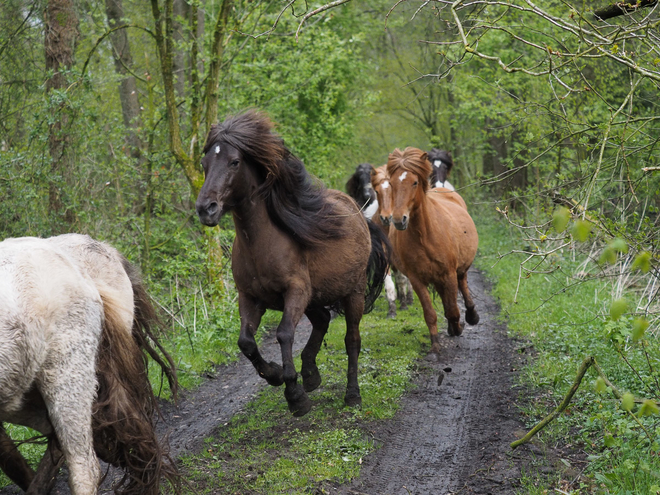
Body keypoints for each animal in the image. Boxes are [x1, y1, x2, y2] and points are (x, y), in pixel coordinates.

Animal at [196, 110, 392, 416]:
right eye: (204, 163)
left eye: (234, 161)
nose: (206, 209)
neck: (261, 245)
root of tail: (358, 212)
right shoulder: (249, 297)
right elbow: (245, 342)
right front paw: (276, 374)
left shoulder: (295, 292)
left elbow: (284, 334)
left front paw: (295, 394)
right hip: (315, 298)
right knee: (322, 320)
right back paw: (311, 373)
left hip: (354, 293)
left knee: (352, 341)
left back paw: (352, 395)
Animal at [386, 149, 480, 354]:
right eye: (391, 183)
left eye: (414, 182)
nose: (398, 220)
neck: (425, 235)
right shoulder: (417, 279)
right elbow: (430, 313)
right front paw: (435, 344)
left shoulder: (449, 273)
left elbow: (453, 309)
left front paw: (458, 327)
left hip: (458, 270)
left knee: (463, 284)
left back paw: (471, 316)